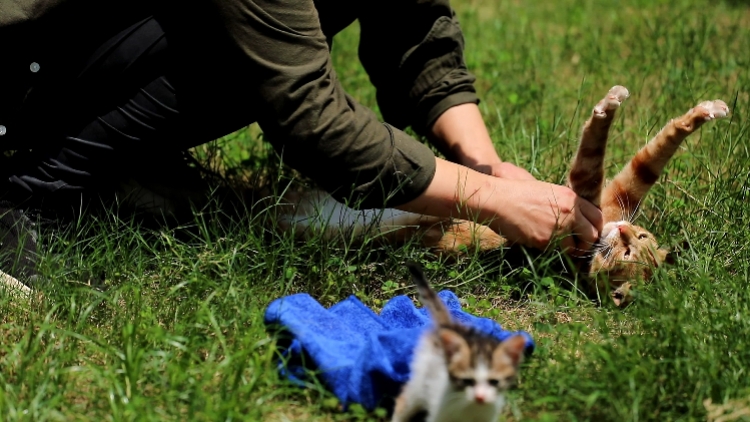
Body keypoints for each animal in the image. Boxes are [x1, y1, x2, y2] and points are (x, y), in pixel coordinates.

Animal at [394, 264, 528, 422]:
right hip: (419, 379)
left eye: (494, 382)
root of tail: (450, 326)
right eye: (467, 381)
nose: (480, 397)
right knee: (405, 401)